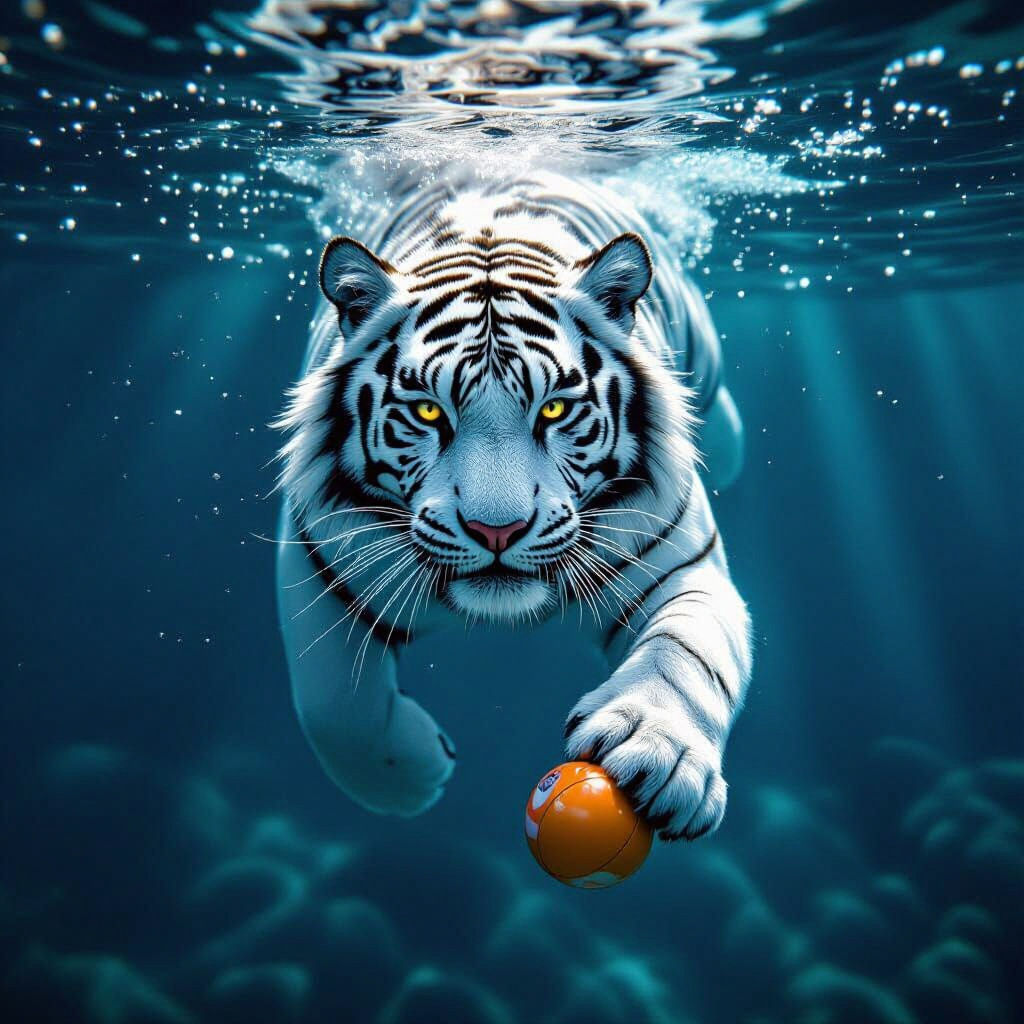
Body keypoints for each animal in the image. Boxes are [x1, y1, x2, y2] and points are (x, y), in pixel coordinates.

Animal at [274, 171, 752, 843]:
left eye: (554, 408)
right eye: (428, 411)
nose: (496, 531)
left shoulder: (685, 566)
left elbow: (688, 655)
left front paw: (661, 754)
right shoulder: (318, 564)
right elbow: (332, 706)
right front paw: (411, 782)